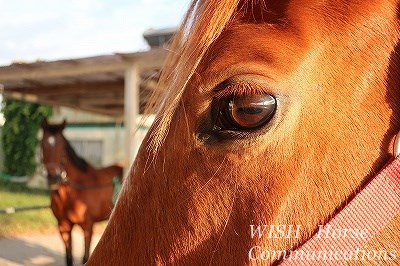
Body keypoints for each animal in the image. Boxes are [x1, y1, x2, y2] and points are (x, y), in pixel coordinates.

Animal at [40, 119, 122, 264]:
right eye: (42, 144)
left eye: (62, 146)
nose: (53, 178)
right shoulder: (64, 226)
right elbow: (69, 258)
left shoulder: (87, 227)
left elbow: (86, 257)